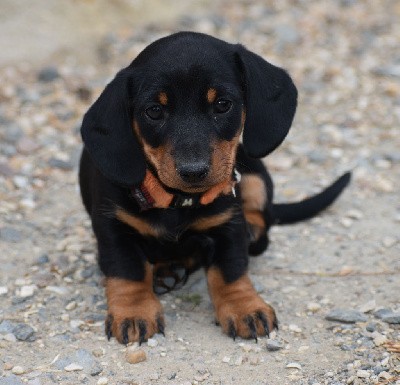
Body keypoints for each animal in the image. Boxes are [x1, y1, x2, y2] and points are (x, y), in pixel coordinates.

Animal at [79, 31, 350, 344]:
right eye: (154, 111)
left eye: (222, 104)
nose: (194, 171)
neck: (178, 201)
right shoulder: (113, 228)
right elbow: (128, 271)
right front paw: (134, 312)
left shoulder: (227, 223)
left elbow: (229, 270)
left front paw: (245, 308)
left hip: (252, 172)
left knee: (262, 218)